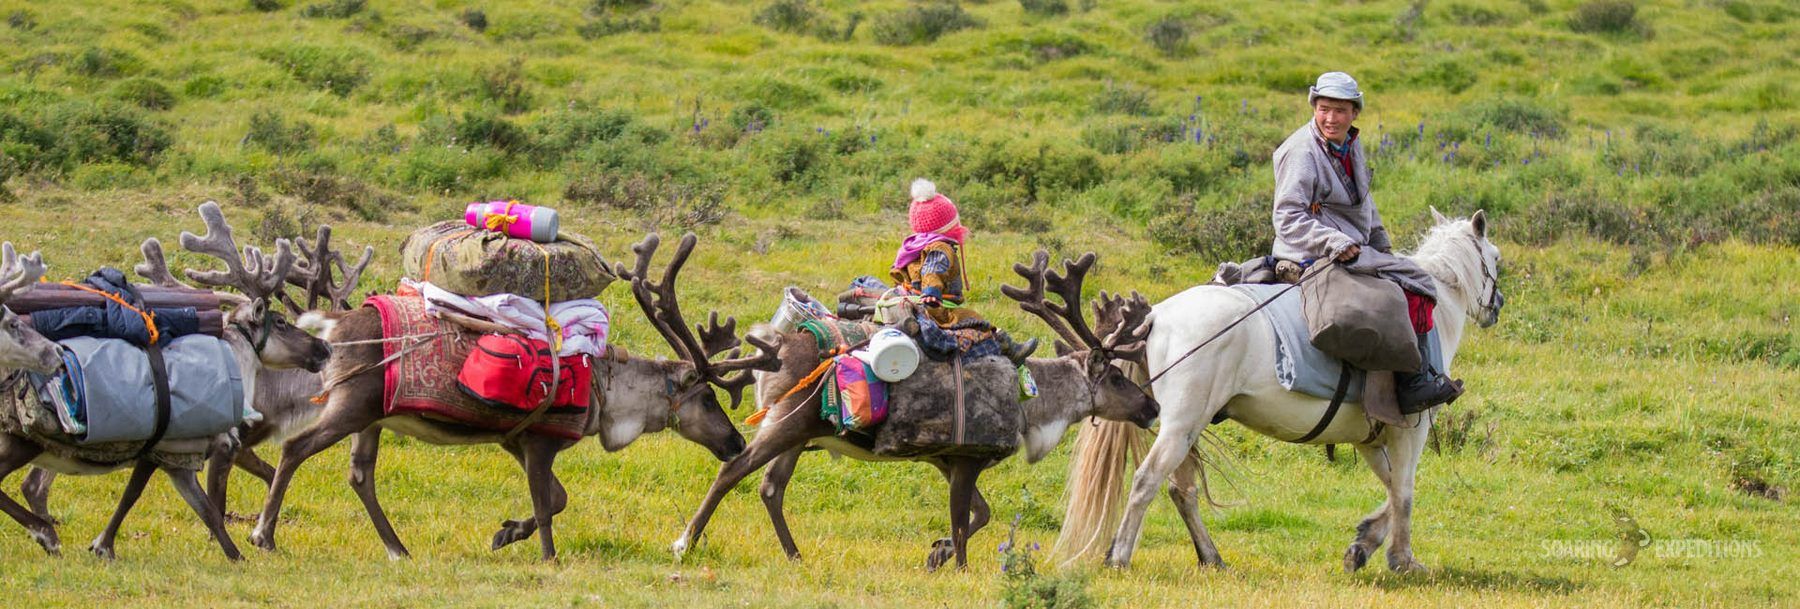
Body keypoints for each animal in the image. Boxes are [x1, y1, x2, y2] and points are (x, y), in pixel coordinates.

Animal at [0, 200, 332, 561]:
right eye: (282, 323)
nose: (324, 347)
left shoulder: (170, 456)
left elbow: (167, 501)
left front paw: (104, 545)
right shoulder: (198, 449)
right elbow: (206, 506)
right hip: (22, 440)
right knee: (26, 484)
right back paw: (45, 532)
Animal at [246, 232, 780, 561]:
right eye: (707, 398)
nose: (735, 443)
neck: (608, 396)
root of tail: (333, 327)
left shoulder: (516, 439)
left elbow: (557, 498)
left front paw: (505, 534)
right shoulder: (541, 440)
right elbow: (547, 504)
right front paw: (548, 556)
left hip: (373, 418)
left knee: (360, 475)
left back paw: (398, 548)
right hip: (351, 404)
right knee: (295, 448)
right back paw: (263, 534)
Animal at [668, 250, 1160, 571]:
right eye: (1117, 379)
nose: (1153, 406)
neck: (1031, 406)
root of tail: (772, 343)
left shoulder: (946, 459)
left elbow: (981, 515)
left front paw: (936, 553)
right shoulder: (966, 458)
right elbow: (963, 522)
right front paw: (958, 567)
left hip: (802, 430)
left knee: (771, 487)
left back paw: (794, 556)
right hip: (787, 420)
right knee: (733, 470)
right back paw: (685, 542)